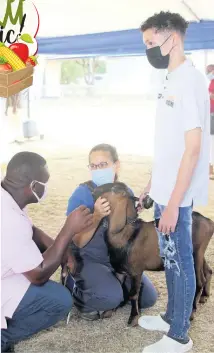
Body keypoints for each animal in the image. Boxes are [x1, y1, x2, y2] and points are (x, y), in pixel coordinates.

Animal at [93, 183, 213, 326]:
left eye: (113, 188)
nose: (93, 190)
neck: (124, 234)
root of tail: (209, 222)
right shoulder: (119, 270)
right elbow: (119, 289)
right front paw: (110, 311)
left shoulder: (136, 271)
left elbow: (134, 294)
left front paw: (133, 317)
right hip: (200, 254)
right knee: (208, 271)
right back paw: (204, 297)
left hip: (195, 255)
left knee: (199, 281)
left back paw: (192, 312)